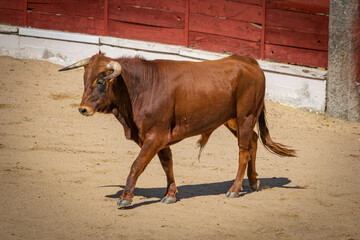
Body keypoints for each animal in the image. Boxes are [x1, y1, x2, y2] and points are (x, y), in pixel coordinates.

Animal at [59, 52, 296, 208]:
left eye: (101, 81)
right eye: (85, 79)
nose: (83, 109)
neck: (142, 87)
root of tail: (250, 62)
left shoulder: (155, 136)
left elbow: (137, 165)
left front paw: (125, 197)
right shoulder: (156, 138)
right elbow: (167, 163)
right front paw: (171, 194)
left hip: (246, 116)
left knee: (243, 150)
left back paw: (234, 189)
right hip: (232, 120)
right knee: (253, 141)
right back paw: (254, 182)